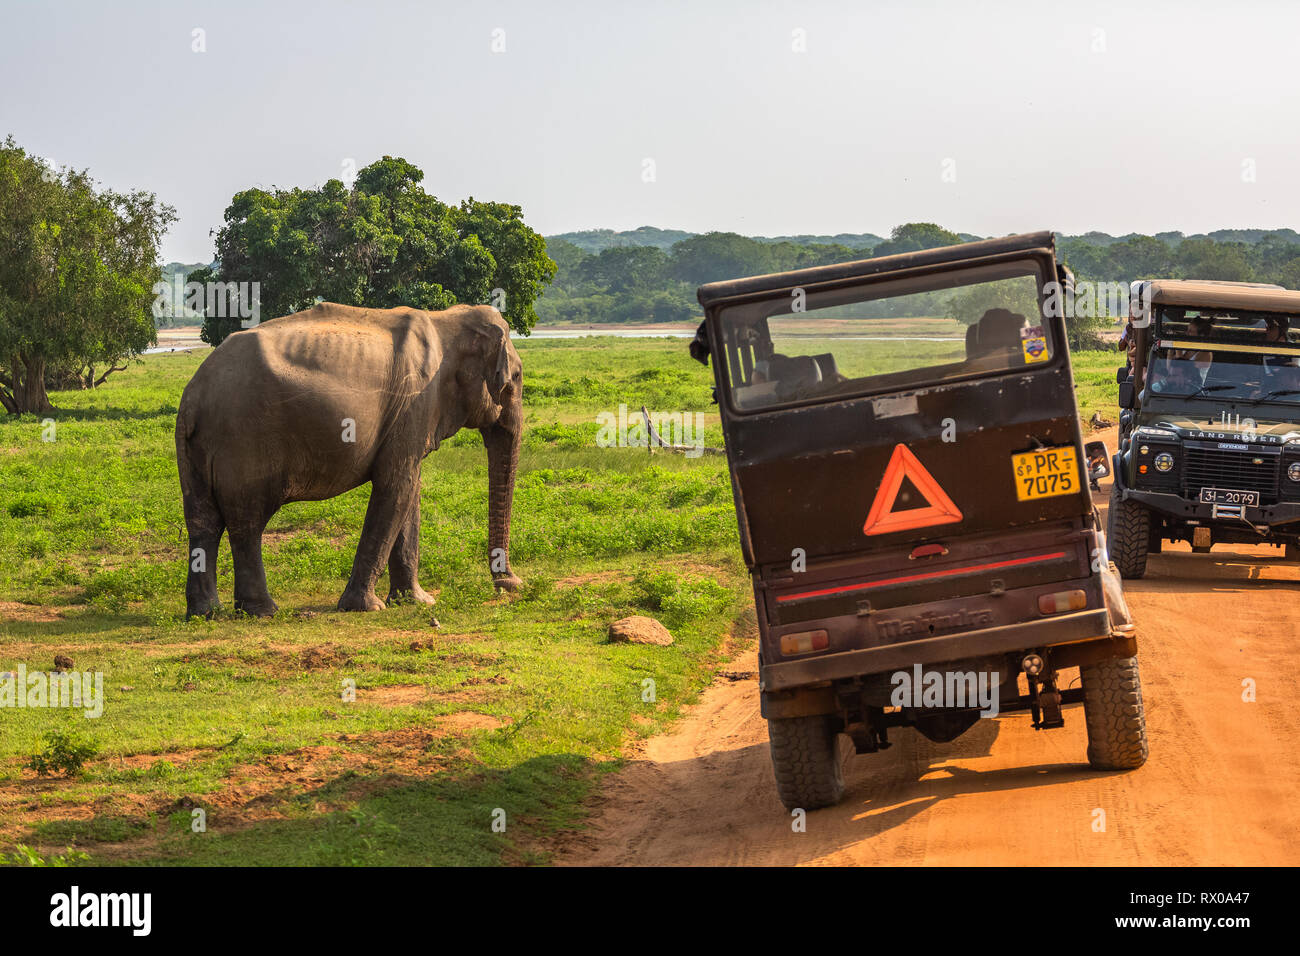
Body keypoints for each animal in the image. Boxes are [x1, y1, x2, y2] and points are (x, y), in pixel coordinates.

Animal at [176, 304, 522, 621]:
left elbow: (409, 491)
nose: (509, 583)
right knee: (247, 522)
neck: (446, 319)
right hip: (245, 441)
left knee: (204, 521)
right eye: (516, 377)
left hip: (196, 450)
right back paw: (263, 612)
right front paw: (367, 607)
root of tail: (193, 395)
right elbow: (396, 486)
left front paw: (417, 602)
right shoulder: (415, 402)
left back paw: (205, 613)